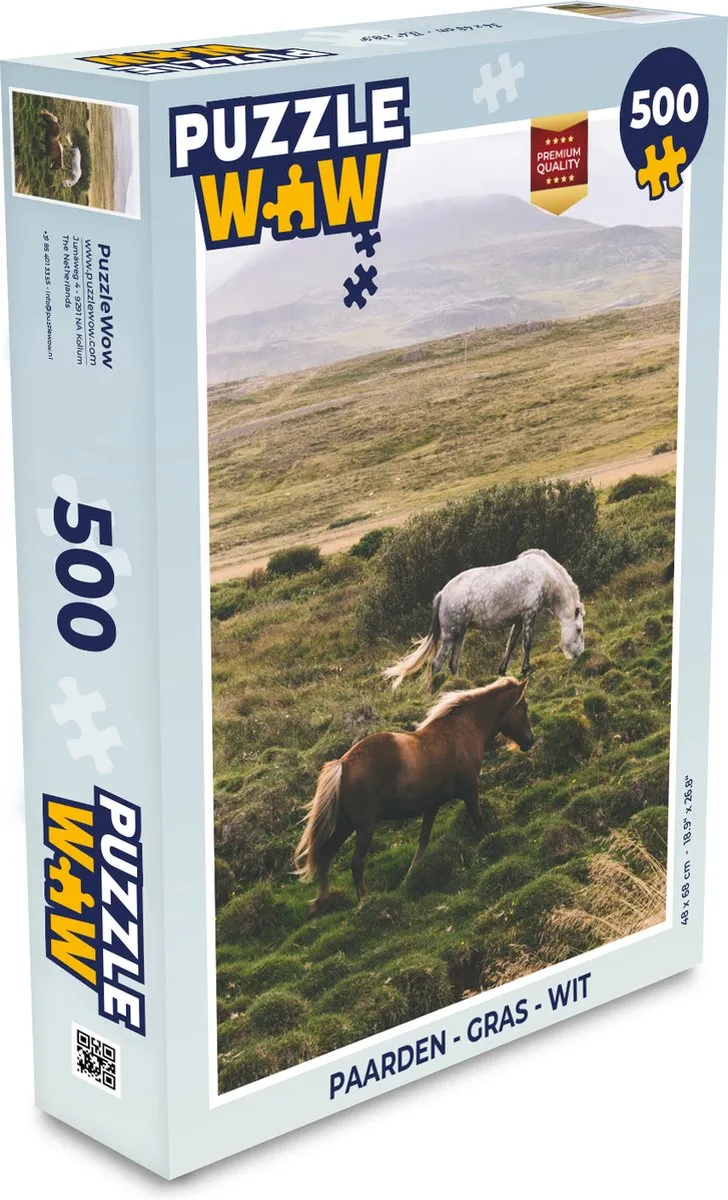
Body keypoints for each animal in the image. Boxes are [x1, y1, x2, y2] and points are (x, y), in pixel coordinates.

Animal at [294, 677, 534, 912]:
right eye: (523, 707)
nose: (530, 740)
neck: (463, 728)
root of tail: (343, 764)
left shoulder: (432, 805)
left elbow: (422, 842)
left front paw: (409, 877)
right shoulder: (470, 791)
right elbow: (479, 821)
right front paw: (484, 848)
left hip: (344, 825)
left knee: (325, 856)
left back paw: (322, 902)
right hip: (364, 827)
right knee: (356, 863)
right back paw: (364, 902)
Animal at [383, 548, 585, 689]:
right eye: (579, 630)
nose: (579, 655)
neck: (543, 575)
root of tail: (442, 594)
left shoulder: (518, 620)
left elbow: (511, 644)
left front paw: (502, 670)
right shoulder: (529, 615)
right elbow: (527, 644)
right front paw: (526, 669)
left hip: (460, 634)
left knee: (453, 664)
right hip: (450, 636)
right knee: (436, 664)